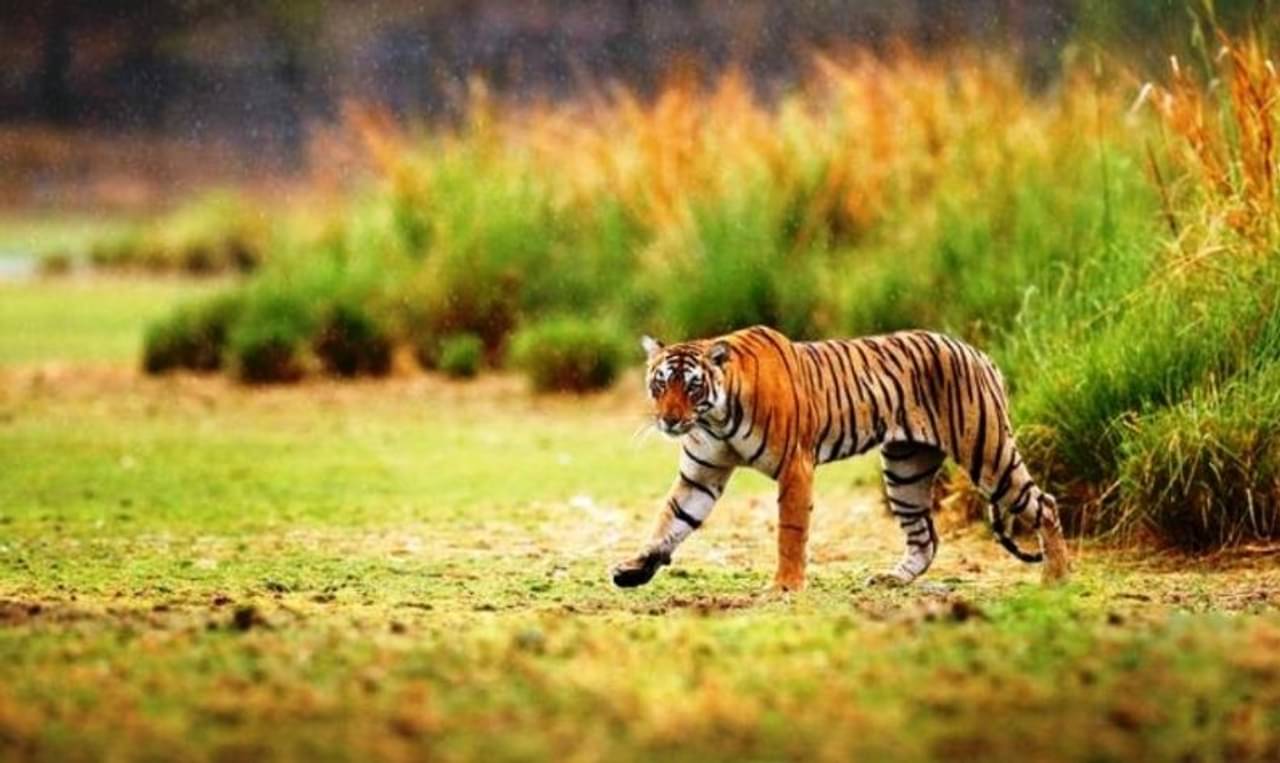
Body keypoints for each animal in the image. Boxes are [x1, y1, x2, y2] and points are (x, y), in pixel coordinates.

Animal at [611, 325, 1070, 591]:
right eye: (660, 384)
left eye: (691, 386)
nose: (670, 420)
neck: (716, 417)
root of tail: (980, 353)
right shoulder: (701, 475)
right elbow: (670, 521)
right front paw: (634, 569)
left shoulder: (795, 467)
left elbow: (790, 532)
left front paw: (785, 586)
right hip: (904, 470)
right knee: (925, 537)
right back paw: (891, 579)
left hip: (987, 452)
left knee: (1044, 503)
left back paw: (1056, 576)